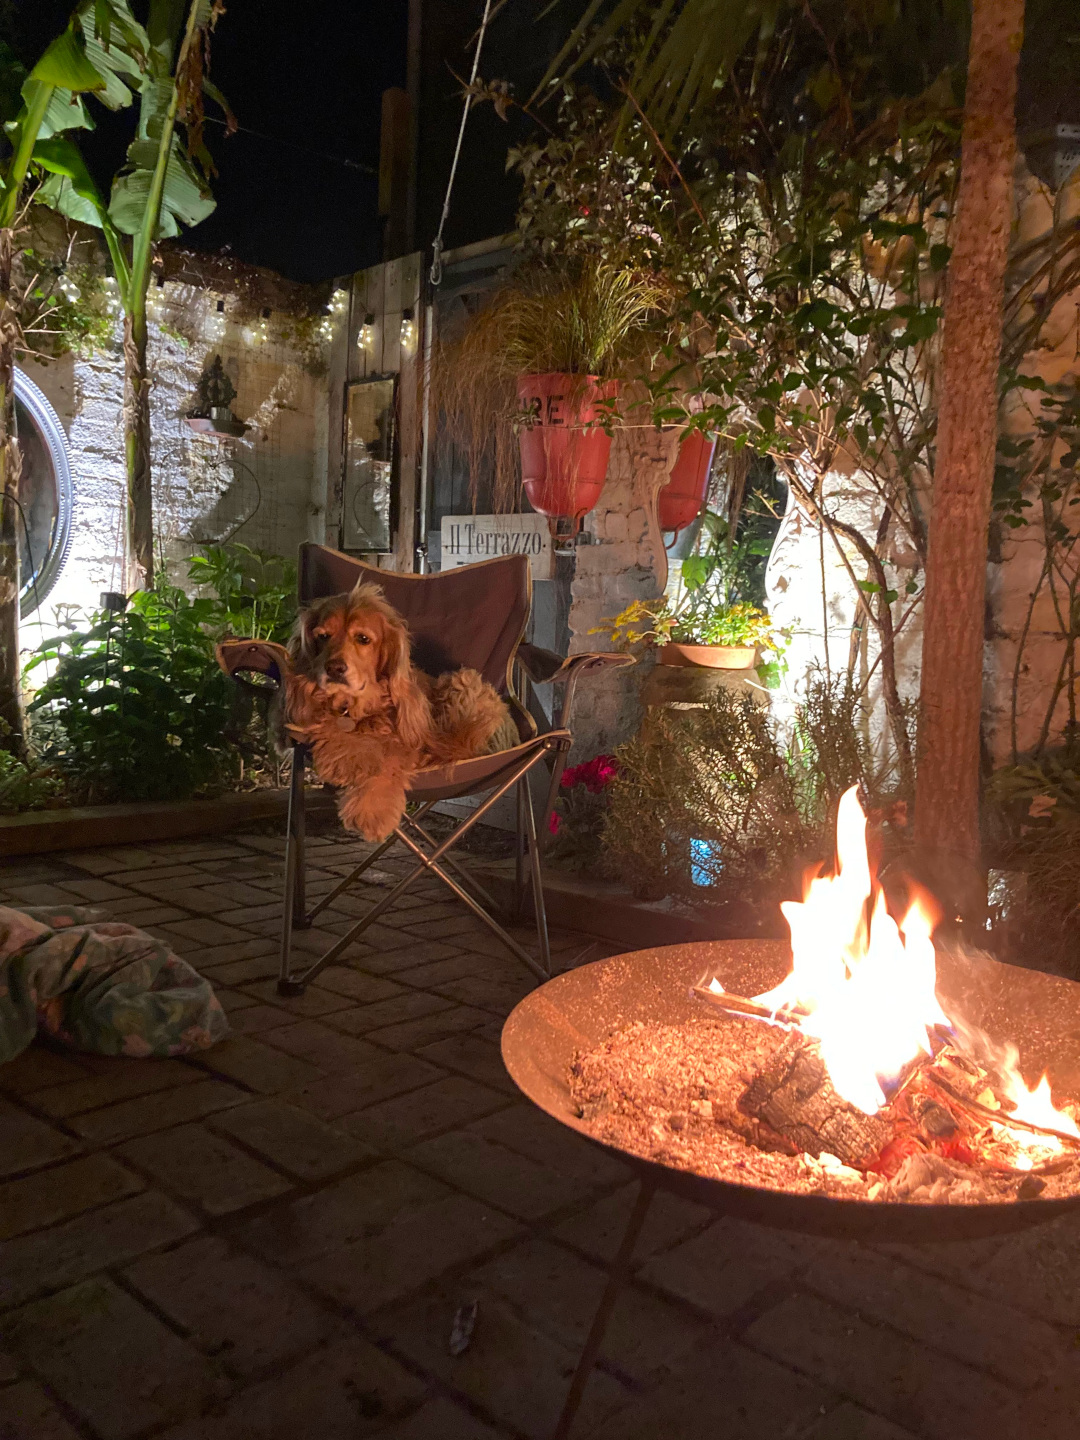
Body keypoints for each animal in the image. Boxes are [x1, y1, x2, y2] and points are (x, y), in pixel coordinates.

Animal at [288, 578, 515, 840]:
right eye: (323, 636)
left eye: (363, 639)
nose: (334, 668)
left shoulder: (408, 742)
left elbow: (388, 758)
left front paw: (371, 813)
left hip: (462, 684)